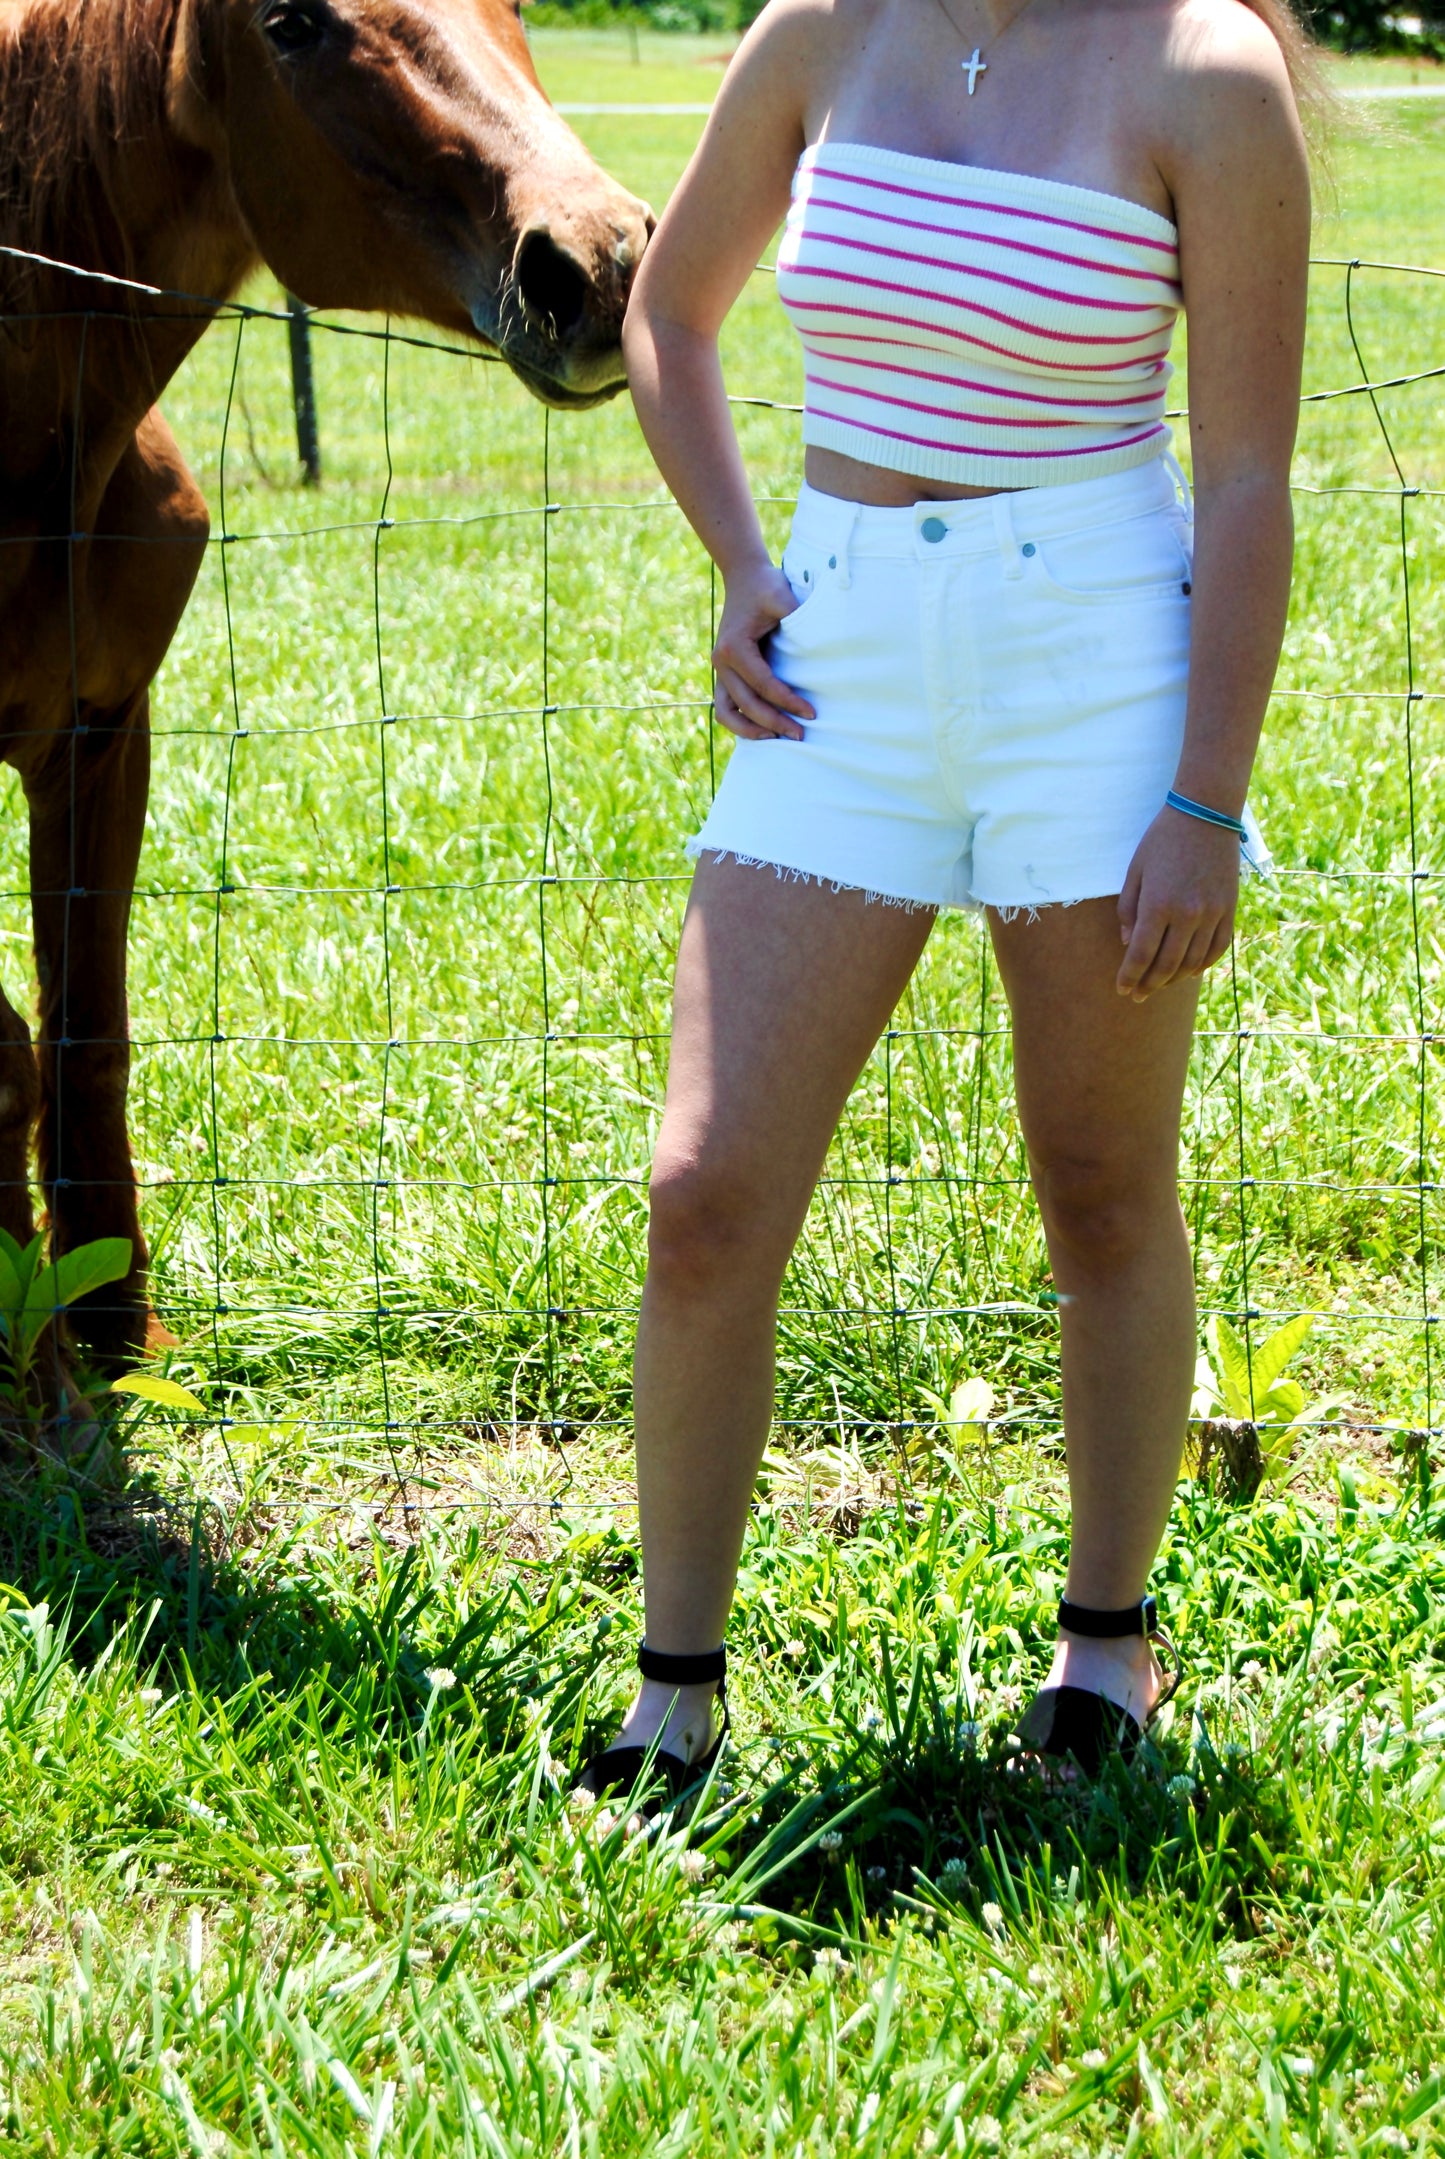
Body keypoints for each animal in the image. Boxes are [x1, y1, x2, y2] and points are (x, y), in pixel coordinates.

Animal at [0, 0, 652, 1373]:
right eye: (292, 23)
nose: (603, 262)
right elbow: (2, 1052)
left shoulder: (103, 734)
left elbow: (87, 1037)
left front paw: (114, 1335)